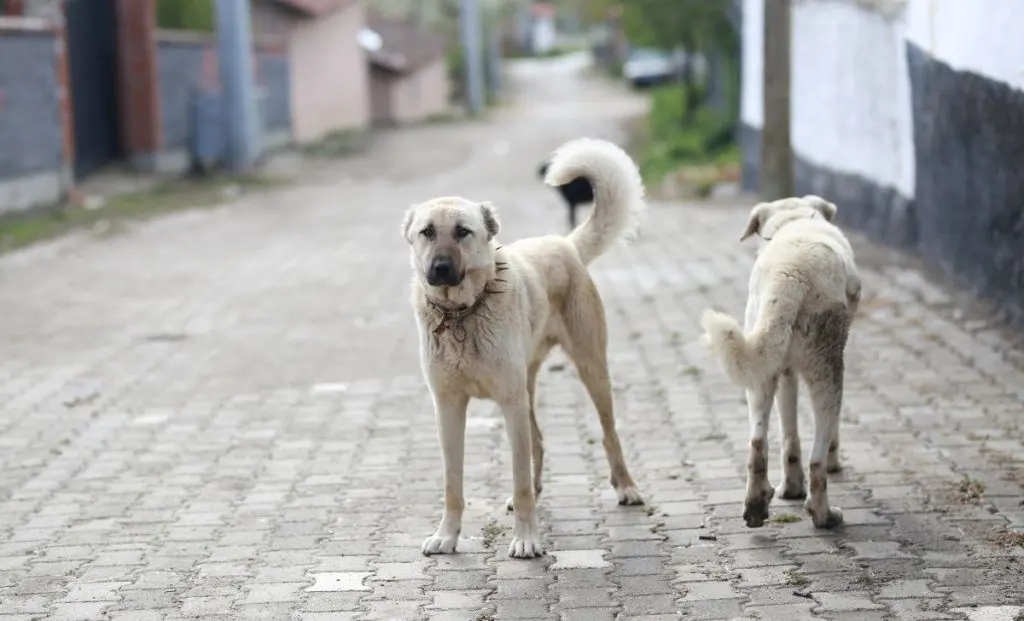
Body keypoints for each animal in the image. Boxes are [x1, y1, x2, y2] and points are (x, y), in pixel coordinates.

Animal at [403, 138, 643, 561]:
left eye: (463, 232)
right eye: (427, 232)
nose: (441, 269)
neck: (463, 313)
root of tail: (564, 243)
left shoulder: (509, 403)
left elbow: (518, 479)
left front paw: (527, 539)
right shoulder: (448, 406)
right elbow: (452, 484)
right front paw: (447, 536)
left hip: (591, 369)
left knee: (608, 433)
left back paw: (625, 486)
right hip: (527, 388)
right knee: (539, 442)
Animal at [700, 196, 860, 532]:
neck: (793, 219)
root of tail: (790, 275)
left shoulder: (784, 371)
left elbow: (789, 434)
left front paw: (791, 487)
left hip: (761, 369)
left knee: (757, 443)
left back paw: (756, 504)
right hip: (826, 369)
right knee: (816, 458)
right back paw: (824, 515)